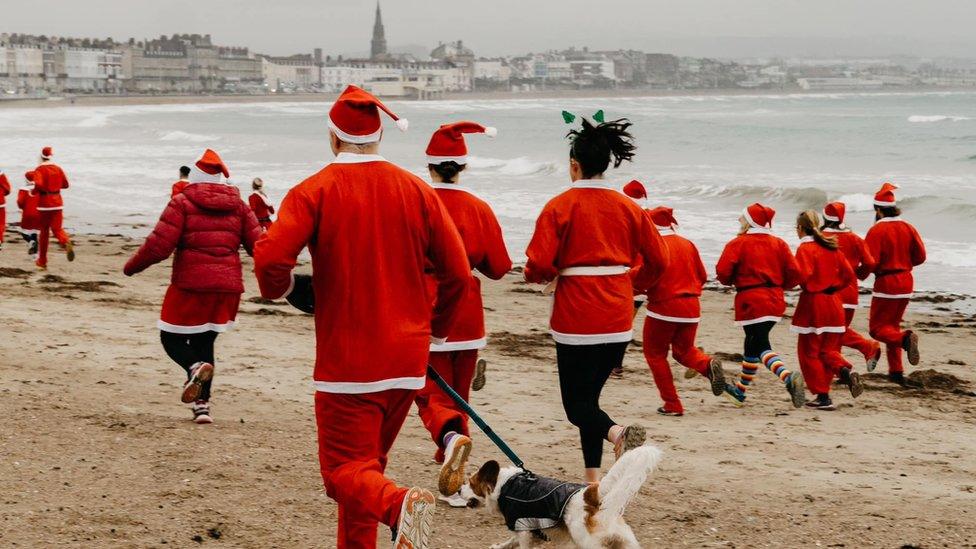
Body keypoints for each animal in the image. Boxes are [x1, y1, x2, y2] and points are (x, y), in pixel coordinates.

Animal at [464, 446, 664, 548]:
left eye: (470, 484)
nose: (458, 491)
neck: (504, 485)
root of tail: (590, 494)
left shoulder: (521, 528)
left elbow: (519, 542)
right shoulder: (529, 528)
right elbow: (511, 542)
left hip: (587, 541)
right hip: (621, 537)